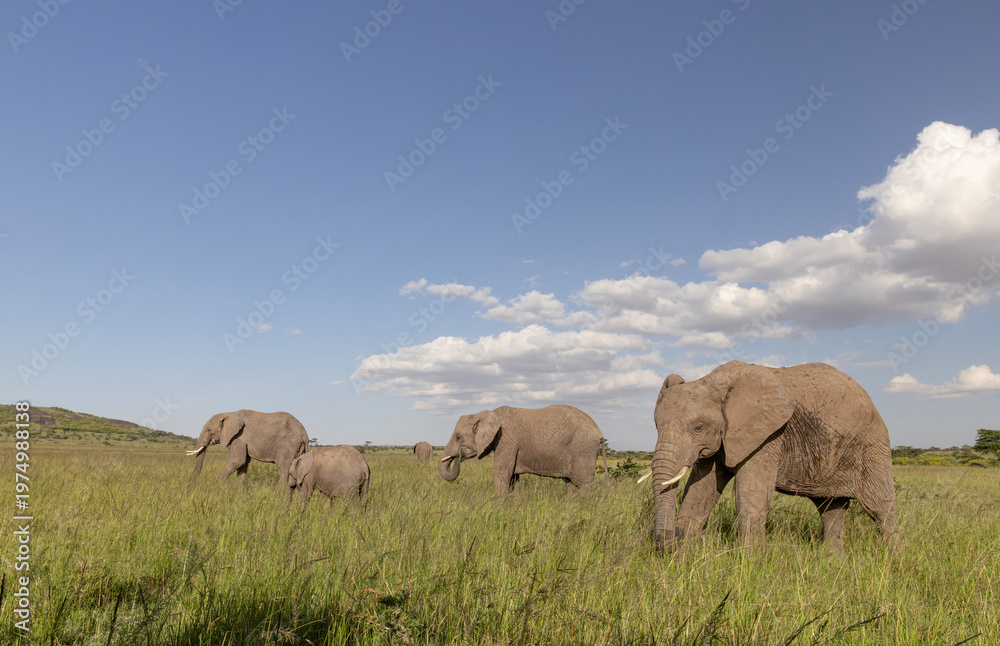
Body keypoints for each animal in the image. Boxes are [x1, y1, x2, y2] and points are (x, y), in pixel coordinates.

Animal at [439, 405, 609, 495]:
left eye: (458, 437)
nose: (458, 456)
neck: (484, 413)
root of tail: (599, 433)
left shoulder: (506, 440)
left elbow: (501, 474)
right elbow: (513, 477)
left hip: (583, 450)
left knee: (583, 485)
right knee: (571, 485)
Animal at [650, 361, 899, 552]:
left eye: (698, 427)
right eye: (656, 425)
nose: (672, 541)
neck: (714, 382)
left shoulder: (769, 435)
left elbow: (751, 496)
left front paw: (749, 564)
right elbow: (699, 493)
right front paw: (683, 558)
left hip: (872, 446)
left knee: (880, 508)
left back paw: (893, 561)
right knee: (831, 510)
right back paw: (834, 562)